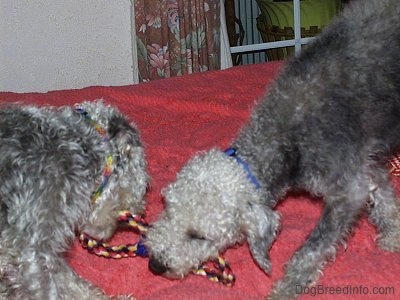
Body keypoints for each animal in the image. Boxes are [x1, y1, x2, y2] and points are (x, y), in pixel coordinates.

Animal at [145, 0, 400, 298]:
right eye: (168, 210)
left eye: (199, 235)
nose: (155, 264)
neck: (285, 137)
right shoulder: (366, 163)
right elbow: (384, 197)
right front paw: (394, 235)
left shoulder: (348, 189)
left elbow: (310, 251)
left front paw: (287, 287)